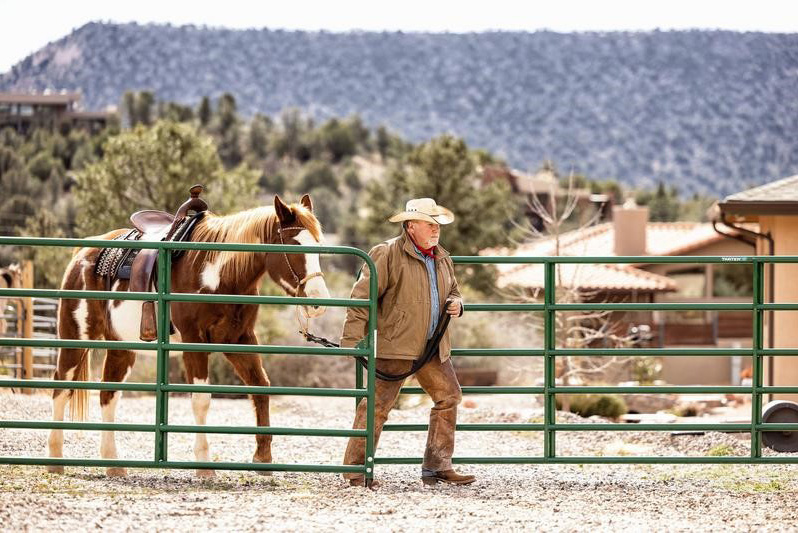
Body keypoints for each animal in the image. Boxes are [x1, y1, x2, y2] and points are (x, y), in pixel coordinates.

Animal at [47, 193, 332, 476]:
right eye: (294, 245)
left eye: (319, 245)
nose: (318, 302)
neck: (218, 272)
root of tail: (81, 254)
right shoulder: (194, 341)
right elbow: (201, 400)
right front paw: (204, 466)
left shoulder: (238, 340)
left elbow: (261, 388)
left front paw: (263, 458)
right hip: (75, 338)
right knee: (61, 387)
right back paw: (56, 460)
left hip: (122, 347)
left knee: (108, 396)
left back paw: (113, 464)